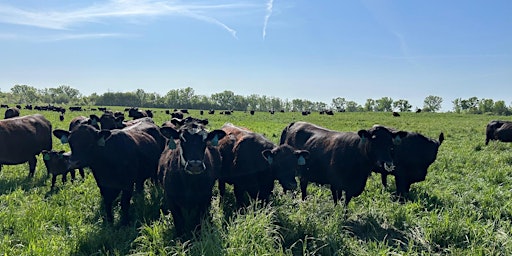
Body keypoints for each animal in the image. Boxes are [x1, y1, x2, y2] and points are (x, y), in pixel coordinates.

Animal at [278, 121, 406, 206]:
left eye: (390, 143)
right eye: (374, 140)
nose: (388, 162)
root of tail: (295, 123)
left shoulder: (352, 187)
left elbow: (345, 202)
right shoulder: (335, 184)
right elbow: (336, 200)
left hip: (305, 173)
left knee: (303, 185)